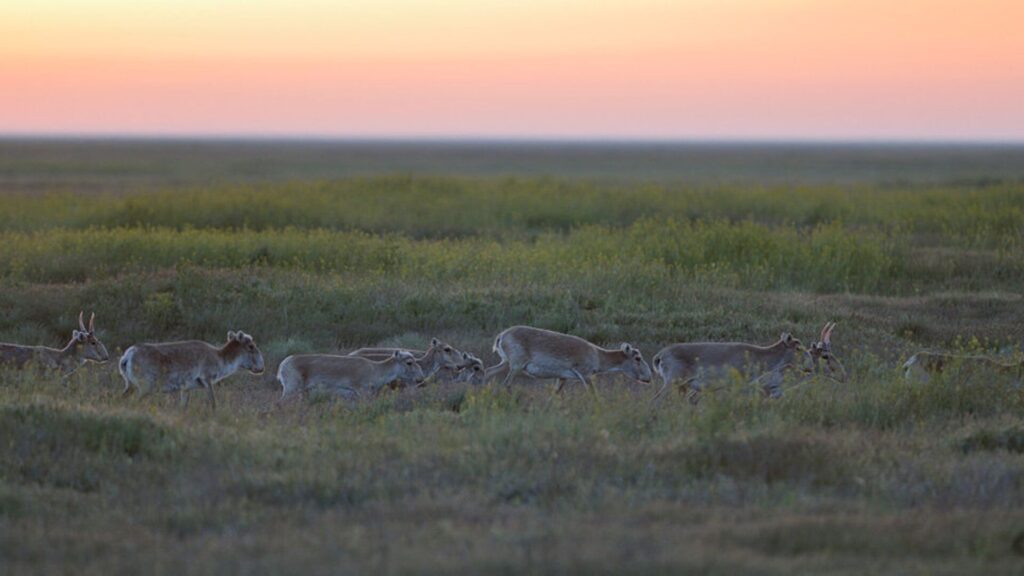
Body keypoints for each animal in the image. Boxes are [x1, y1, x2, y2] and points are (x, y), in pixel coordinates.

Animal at [117, 330, 266, 409]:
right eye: (251, 346)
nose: (261, 368)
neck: (220, 358)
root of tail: (127, 356)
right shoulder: (207, 379)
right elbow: (213, 403)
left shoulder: (185, 389)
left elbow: (183, 407)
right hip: (146, 387)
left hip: (129, 385)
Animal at [274, 348, 425, 401]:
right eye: (409, 362)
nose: (421, 377)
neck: (376, 369)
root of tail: (283, 364)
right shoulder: (361, 391)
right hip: (291, 388)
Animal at [483, 323, 651, 393]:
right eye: (637, 358)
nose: (649, 377)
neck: (597, 354)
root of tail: (502, 335)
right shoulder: (585, 376)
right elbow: (593, 394)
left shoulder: (562, 378)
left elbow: (555, 395)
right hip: (516, 366)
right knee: (506, 383)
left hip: (505, 363)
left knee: (487, 373)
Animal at [651, 327, 811, 403]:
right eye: (798, 348)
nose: (810, 366)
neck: (760, 356)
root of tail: (660, 355)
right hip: (672, 381)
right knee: (656, 400)